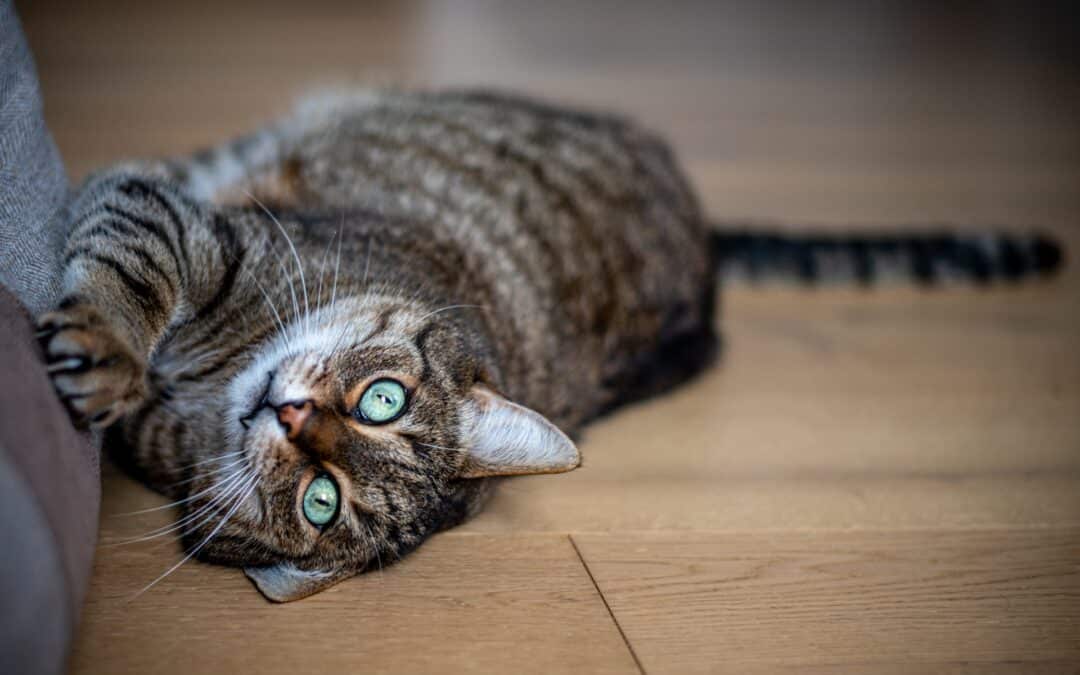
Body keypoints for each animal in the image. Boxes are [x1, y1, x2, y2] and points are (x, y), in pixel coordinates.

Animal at [35, 88, 1062, 600]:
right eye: (383, 399)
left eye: (322, 501)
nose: (290, 415)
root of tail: (707, 251)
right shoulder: (203, 232)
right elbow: (131, 261)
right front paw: (106, 344)